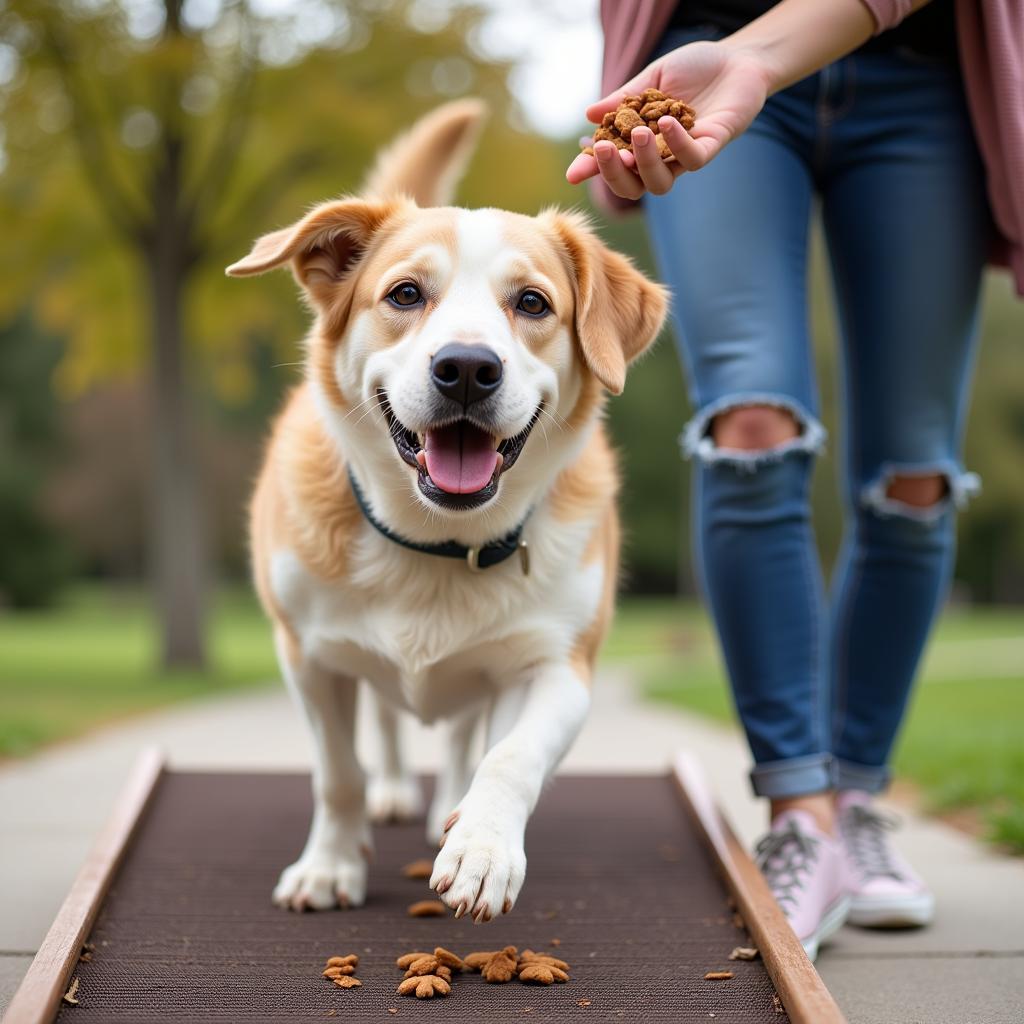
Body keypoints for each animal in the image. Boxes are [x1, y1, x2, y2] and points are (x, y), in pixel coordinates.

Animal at [228, 101, 667, 921]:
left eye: (532, 303)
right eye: (405, 294)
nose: (466, 367)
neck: (438, 541)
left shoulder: (558, 665)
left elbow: (509, 756)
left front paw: (482, 848)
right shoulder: (306, 654)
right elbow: (339, 772)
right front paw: (330, 866)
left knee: (466, 736)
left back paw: (448, 810)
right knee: (387, 725)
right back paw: (398, 792)